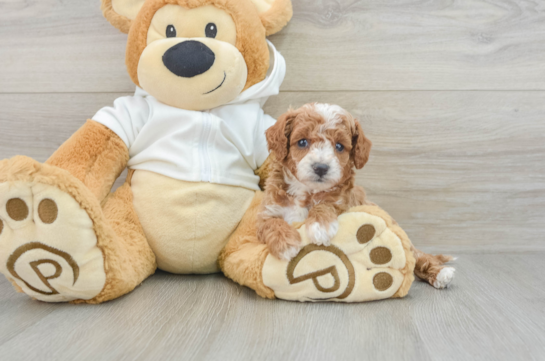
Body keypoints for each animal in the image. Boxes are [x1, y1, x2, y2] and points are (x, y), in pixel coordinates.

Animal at [256, 102, 370, 260]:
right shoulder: (266, 212)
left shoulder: (346, 203)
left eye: (339, 146)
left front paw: (320, 225)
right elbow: (271, 223)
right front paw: (286, 244)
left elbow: (327, 203)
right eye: (302, 142)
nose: (321, 168)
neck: (304, 190)